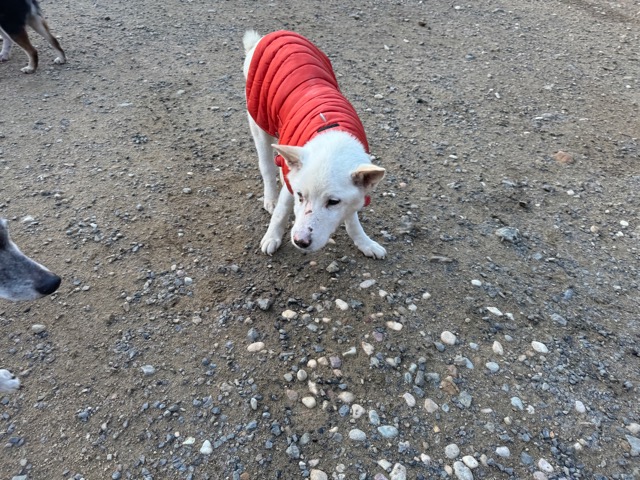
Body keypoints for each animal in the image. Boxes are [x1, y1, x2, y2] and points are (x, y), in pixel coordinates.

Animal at [243, 30, 387, 259]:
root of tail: (271, 35)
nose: (300, 241)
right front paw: (272, 237)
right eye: (300, 196)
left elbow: (353, 222)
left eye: (333, 202)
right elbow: (281, 212)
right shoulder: (290, 185)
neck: (332, 139)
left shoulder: (354, 196)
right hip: (259, 123)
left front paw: (365, 243)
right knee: (266, 166)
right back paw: (270, 199)